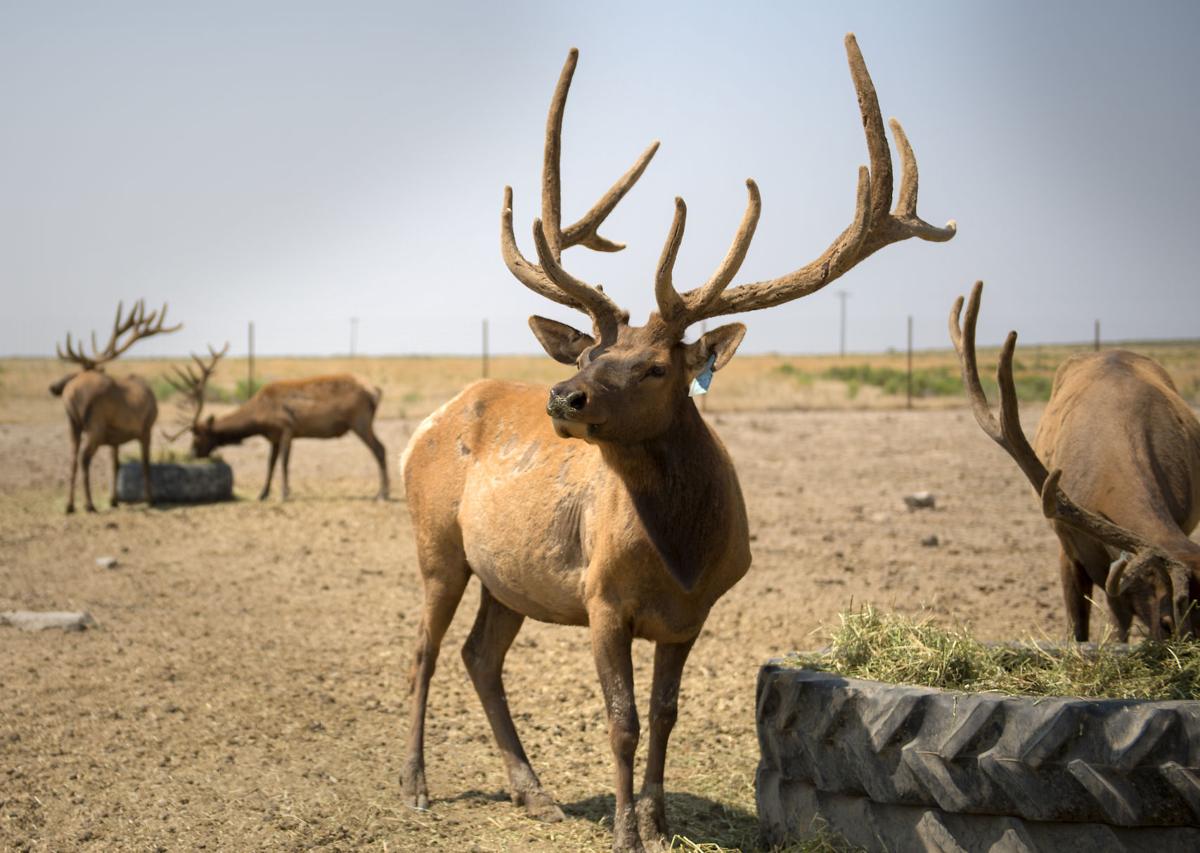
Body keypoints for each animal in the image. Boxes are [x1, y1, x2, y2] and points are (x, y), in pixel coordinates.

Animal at [50, 299, 181, 513]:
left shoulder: (115, 437)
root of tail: (72, 393)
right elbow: (145, 463)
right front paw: (150, 498)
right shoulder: (146, 428)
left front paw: (115, 500)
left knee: (73, 458)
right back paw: (89, 504)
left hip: (74, 424)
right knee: (84, 458)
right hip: (95, 426)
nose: (53, 387)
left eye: (74, 371)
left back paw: (70, 505)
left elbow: (116, 464)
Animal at [162, 345, 388, 501]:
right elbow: (270, 464)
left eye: (198, 436)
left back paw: (382, 494)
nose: (191, 454)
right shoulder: (273, 437)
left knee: (380, 449)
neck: (258, 417)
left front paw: (285, 493)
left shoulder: (286, 428)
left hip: (360, 421)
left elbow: (283, 462)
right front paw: (263, 494)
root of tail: (375, 391)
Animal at [403, 35, 955, 853]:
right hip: (436, 541)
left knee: (479, 654)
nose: (563, 397)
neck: (680, 552)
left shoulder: (694, 613)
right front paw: (626, 832)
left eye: (657, 366)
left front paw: (659, 822)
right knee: (425, 649)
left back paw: (534, 793)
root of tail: (428, 421)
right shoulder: (602, 598)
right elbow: (623, 721)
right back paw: (414, 786)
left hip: (511, 573)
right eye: (587, 354)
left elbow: (666, 715)